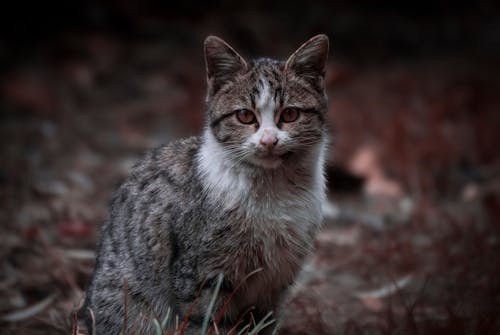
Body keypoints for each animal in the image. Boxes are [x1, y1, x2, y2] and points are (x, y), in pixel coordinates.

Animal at [83, 34, 330, 335]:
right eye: (245, 116)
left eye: (291, 114)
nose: (269, 141)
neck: (273, 188)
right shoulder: (201, 275)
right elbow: (206, 320)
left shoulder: (277, 281)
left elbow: (263, 322)